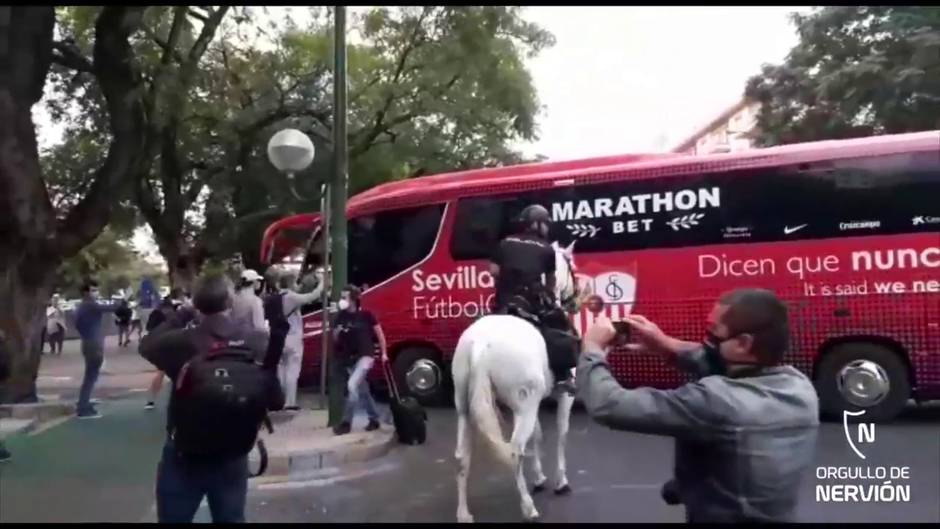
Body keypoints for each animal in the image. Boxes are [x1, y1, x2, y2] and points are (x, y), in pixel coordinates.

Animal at [450, 241, 576, 520]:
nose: (574, 298)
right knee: (514, 450)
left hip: (465, 407)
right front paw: (560, 480)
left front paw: (539, 477)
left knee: (462, 457)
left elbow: (538, 434)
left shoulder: (536, 402)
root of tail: (480, 345)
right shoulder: (563, 396)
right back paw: (528, 506)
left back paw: (463, 513)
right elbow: (562, 432)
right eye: (572, 267)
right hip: (524, 405)